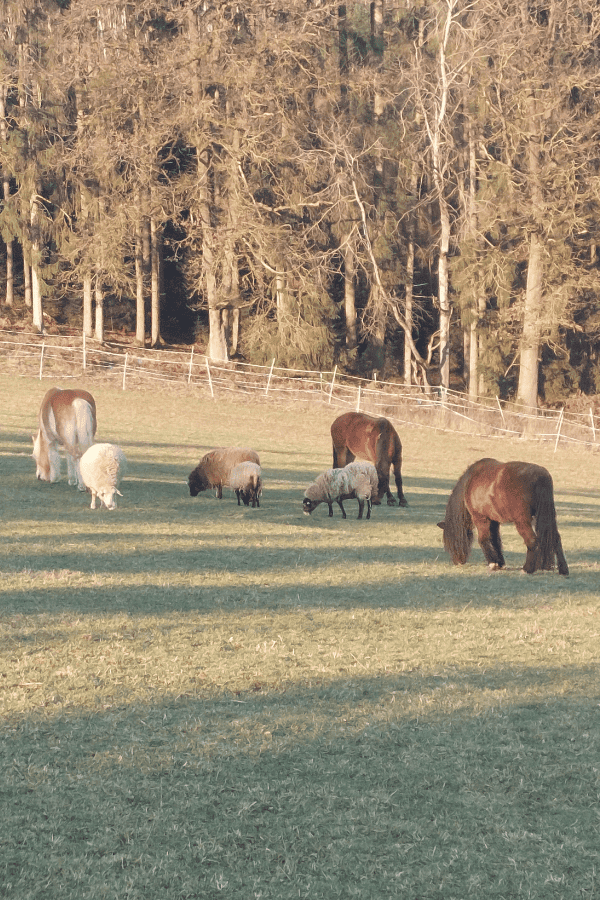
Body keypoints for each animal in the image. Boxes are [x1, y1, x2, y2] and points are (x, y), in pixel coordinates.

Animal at [436, 458, 568, 576]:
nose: (457, 561)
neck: (470, 481)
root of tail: (541, 476)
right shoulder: (494, 521)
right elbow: (495, 540)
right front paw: (499, 563)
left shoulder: (480, 518)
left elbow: (483, 539)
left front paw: (493, 564)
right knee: (556, 539)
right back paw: (563, 570)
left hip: (522, 522)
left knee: (532, 541)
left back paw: (527, 569)